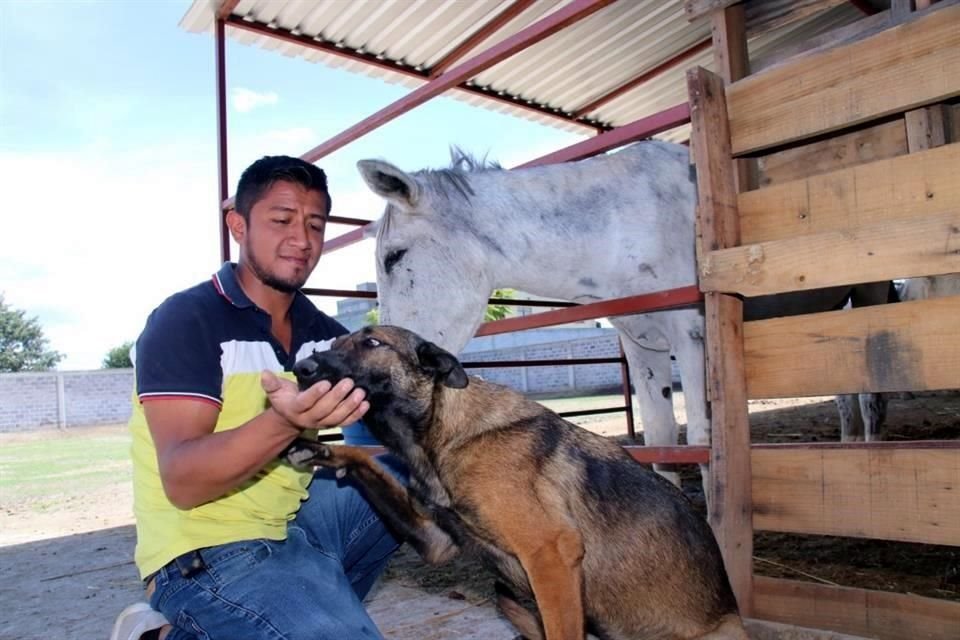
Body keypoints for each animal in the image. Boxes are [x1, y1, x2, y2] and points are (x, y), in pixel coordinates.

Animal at [282, 328, 748, 640]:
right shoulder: (437, 541)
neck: (444, 435)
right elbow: (365, 459)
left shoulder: (550, 555)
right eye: (332, 344)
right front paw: (323, 453)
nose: (300, 369)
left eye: (372, 343)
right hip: (506, 590)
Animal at [360, 144, 892, 484]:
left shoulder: (692, 336)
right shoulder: (642, 347)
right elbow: (662, 438)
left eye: (395, 257)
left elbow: (703, 439)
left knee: (871, 391)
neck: (623, 225)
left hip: (868, 295)